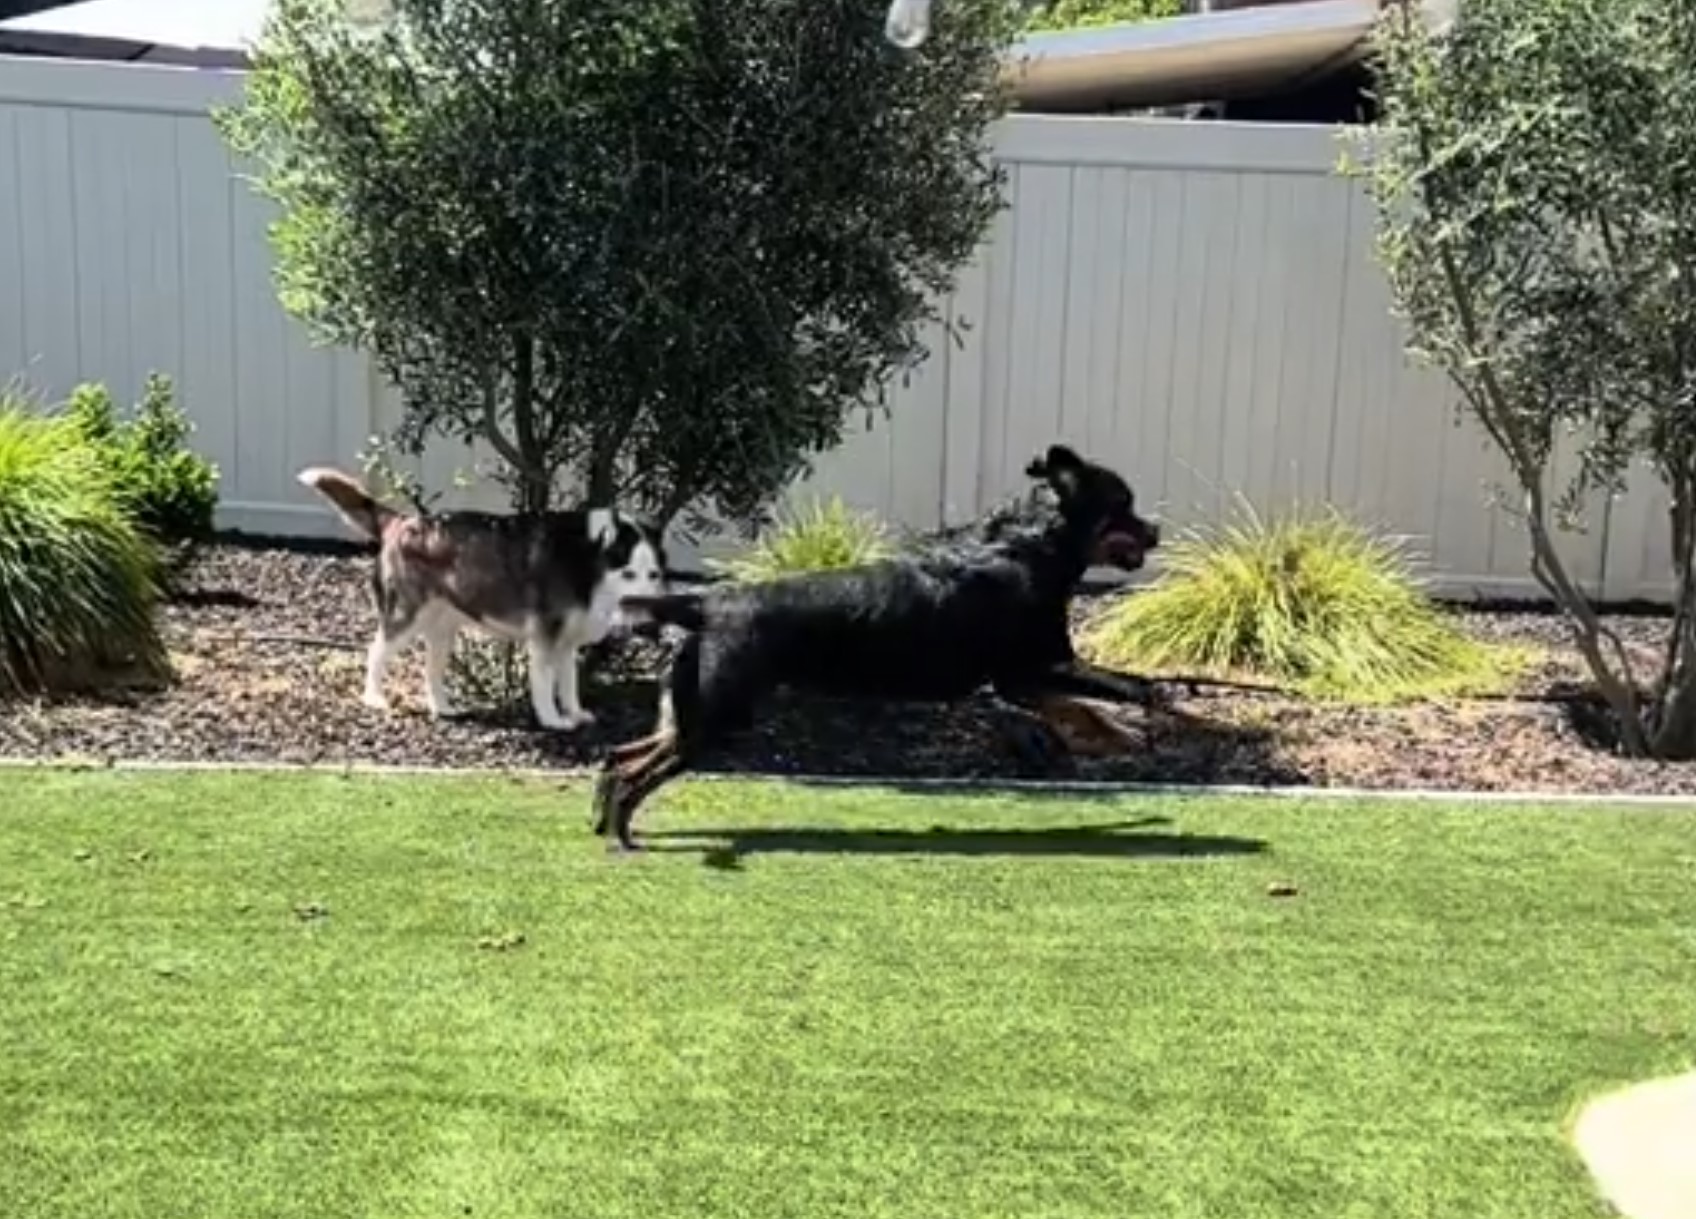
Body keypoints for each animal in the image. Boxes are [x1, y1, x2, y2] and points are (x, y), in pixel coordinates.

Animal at [295, 467, 664, 729]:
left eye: (654, 575)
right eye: (629, 574)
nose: (652, 616)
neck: (586, 557)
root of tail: (401, 521)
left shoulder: (566, 642)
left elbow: (569, 685)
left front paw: (575, 713)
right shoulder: (544, 640)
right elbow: (545, 687)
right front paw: (552, 720)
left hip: (442, 629)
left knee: (430, 671)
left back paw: (443, 708)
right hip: (405, 616)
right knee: (376, 652)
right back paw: (373, 698)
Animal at [596, 444, 1166, 854]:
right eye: (1124, 506)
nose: (1157, 530)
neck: (1030, 547)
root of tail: (704, 603)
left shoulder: (1021, 678)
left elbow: (1087, 708)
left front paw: (1119, 734)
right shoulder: (1032, 668)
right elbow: (1127, 687)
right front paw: (1145, 718)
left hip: (694, 711)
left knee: (620, 754)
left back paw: (603, 816)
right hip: (714, 718)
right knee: (633, 772)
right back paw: (622, 833)